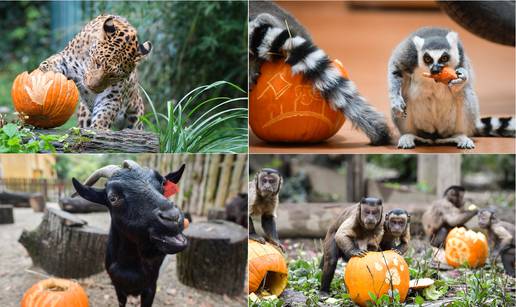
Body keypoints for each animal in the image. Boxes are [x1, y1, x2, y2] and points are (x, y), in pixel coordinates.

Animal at [71, 162, 186, 306]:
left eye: (162, 184)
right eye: (113, 198)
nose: (173, 217)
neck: (130, 266)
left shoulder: (150, 287)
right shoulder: (118, 288)